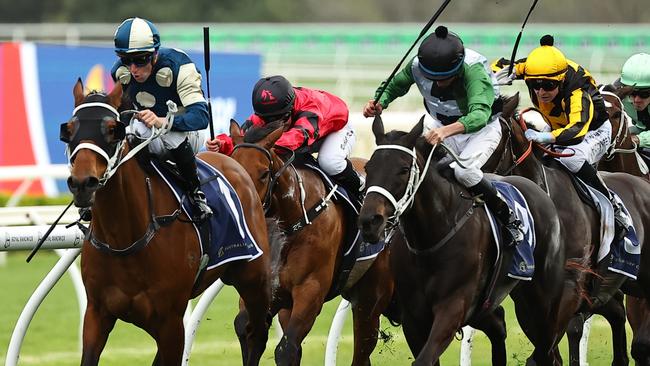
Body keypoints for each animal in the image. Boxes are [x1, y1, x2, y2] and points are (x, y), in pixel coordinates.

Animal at [62, 81, 270, 366]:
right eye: (69, 130)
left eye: (113, 130)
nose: (83, 183)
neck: (124, 240)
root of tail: (234, 162)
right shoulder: (97, 313)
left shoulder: (171, 322)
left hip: (254, 278)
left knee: (256, 333)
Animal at [356, 116, 564, 364]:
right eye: (368, 168)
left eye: (404, 169)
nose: (370, 221)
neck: (429, 240)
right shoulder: (414, 319)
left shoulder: (453, 307)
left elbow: (424, 358)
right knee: (500, 326)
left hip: (543, 300)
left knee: (546, 346)